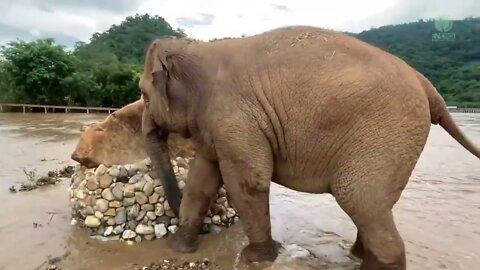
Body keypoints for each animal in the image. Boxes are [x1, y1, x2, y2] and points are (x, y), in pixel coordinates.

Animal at [136, 25, 480, 270]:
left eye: (143, 94)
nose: (207, 231)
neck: (197, 48)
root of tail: (426, 84)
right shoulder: (215, 125)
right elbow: (202, 180)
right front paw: (180, 248)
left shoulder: (235, 118)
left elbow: (248, 182)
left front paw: (257, 259)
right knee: (374, 208)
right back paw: (355, 256)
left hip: (387, 132)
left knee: (359, 199)